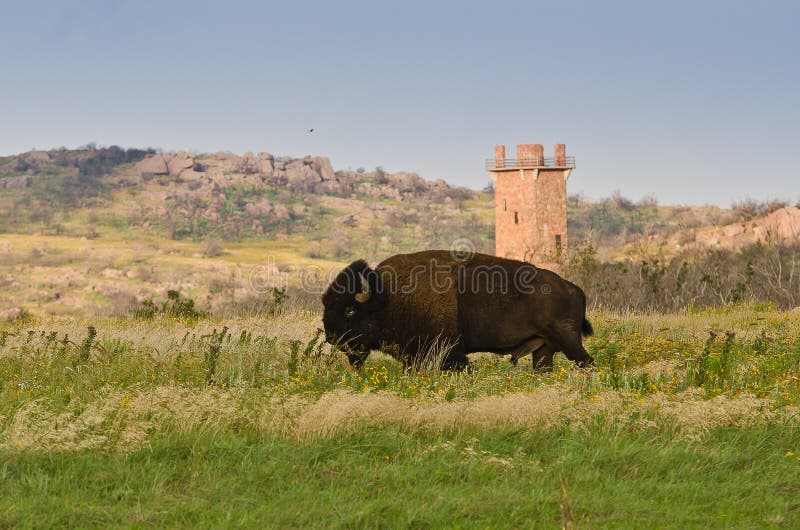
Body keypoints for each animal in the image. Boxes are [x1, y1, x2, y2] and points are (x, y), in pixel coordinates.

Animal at [322, 250, 594, 371]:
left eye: (349, 311)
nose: (330, 337)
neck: (388, 298)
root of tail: (574, 289)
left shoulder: (450, 353)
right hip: (544, 349)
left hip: (568, 341)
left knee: (587, 362)